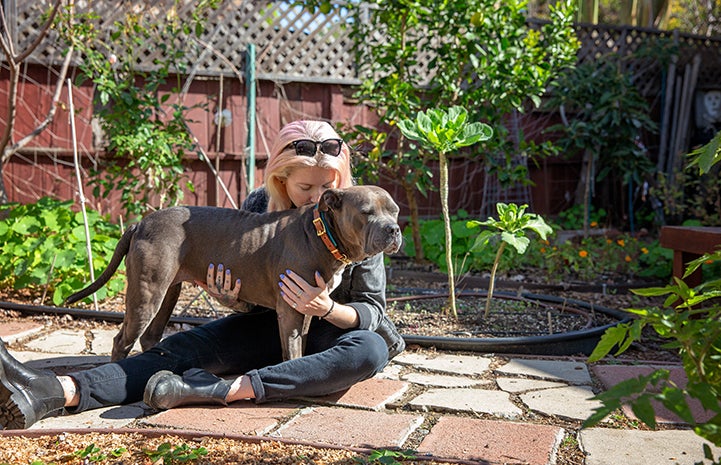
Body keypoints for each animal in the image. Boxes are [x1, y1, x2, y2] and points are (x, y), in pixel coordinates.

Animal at [64, 185, 402, 362]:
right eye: (366, 213)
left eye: (395, 211)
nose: (394, 229)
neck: (322, 234)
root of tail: (140, 223)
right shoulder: (291, 310)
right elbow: (293, 350)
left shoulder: (306, 306)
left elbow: (300, 345)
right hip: (147, 294)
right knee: (123, 339)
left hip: (169, 291)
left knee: (150, 335)